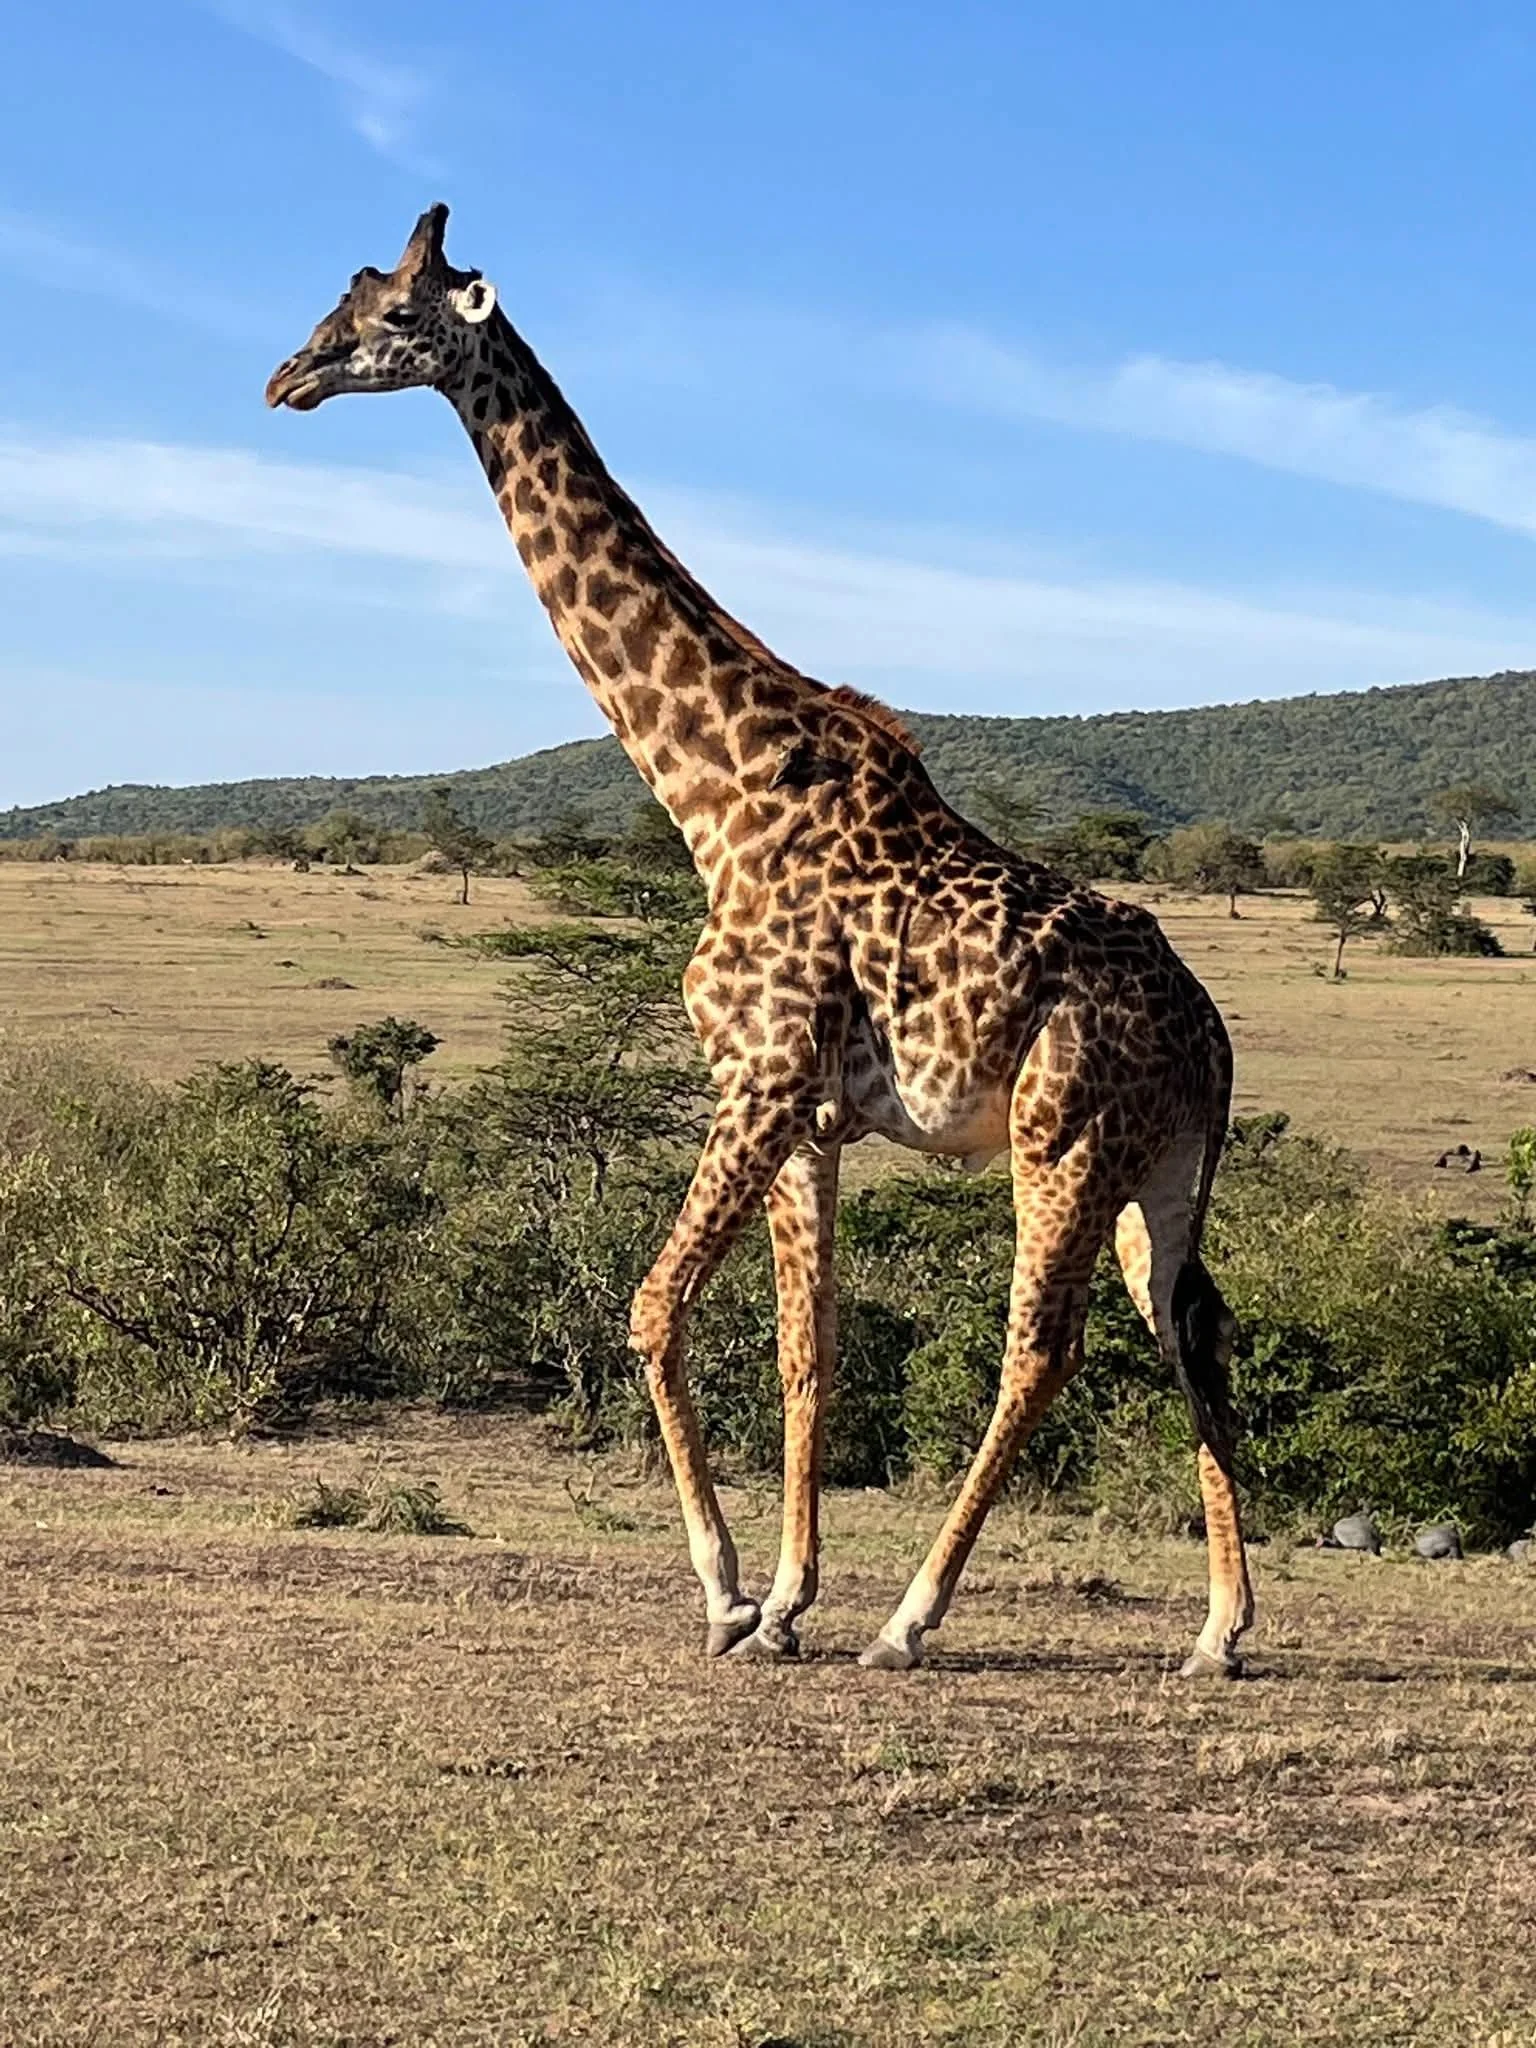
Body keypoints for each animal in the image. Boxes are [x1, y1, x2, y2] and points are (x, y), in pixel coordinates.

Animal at [268, 206, 1254, 1678]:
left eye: (388, 315)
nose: (287, 378)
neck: (713, 793)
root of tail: (1214, 1040)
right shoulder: (808, 1113)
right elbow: (808, 1350)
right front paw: (786, 1598)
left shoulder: (762, 1075)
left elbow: (654, 1306)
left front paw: (729, 1594)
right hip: (1163, 1172)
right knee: (1195, 1332)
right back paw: (1221, 1629)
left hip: (1063, 1137)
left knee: (1042, 1351)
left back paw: (914, 1619)